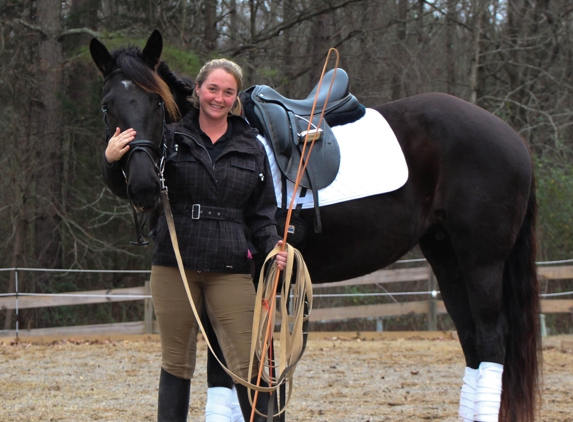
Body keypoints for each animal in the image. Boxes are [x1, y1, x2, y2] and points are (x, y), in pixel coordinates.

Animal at [90, 30, 540, 422]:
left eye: (156, 102)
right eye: (107, 105)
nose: (143, 183)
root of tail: (512, 137)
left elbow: (241, 376)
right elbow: (227, 379)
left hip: (481, 261)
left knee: (490, 341)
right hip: (447, 257)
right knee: (472, 343)